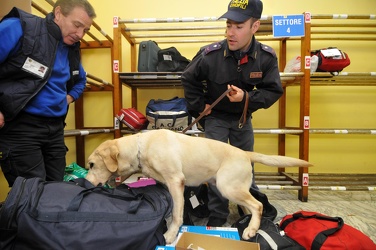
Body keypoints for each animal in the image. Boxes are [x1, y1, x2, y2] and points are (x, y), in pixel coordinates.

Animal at [85, 130, 312, 243]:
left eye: (92, 164)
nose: (84, 182)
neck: (142, 147)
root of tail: (245, 153)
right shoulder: (166, 185)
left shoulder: (176, 182)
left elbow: (177, 215)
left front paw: (170, 235)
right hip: (235, 188)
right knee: (252, 206)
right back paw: (252, 226)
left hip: (227, 187)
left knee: (258, 205)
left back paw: (250, 230)